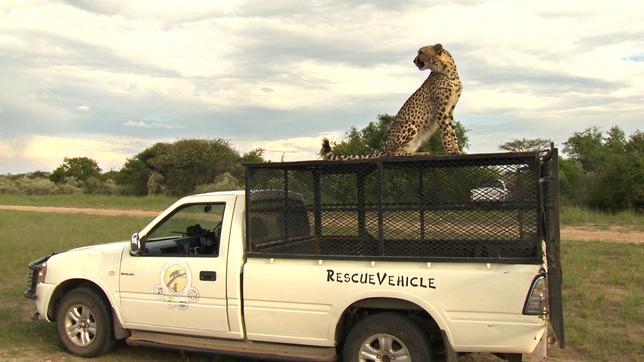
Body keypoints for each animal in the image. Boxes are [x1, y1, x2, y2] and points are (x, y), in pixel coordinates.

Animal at [322, 43, 462, 159]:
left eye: (421, 52)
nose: (414, 60)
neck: (448, 72)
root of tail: (385, 147)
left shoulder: (449, 110)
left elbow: (452, 132)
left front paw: (457, 150)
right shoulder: (441, 109)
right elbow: (446, 133)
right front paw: (451, 151)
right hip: (411, 124)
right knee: (393, 153)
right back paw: (419, 153)